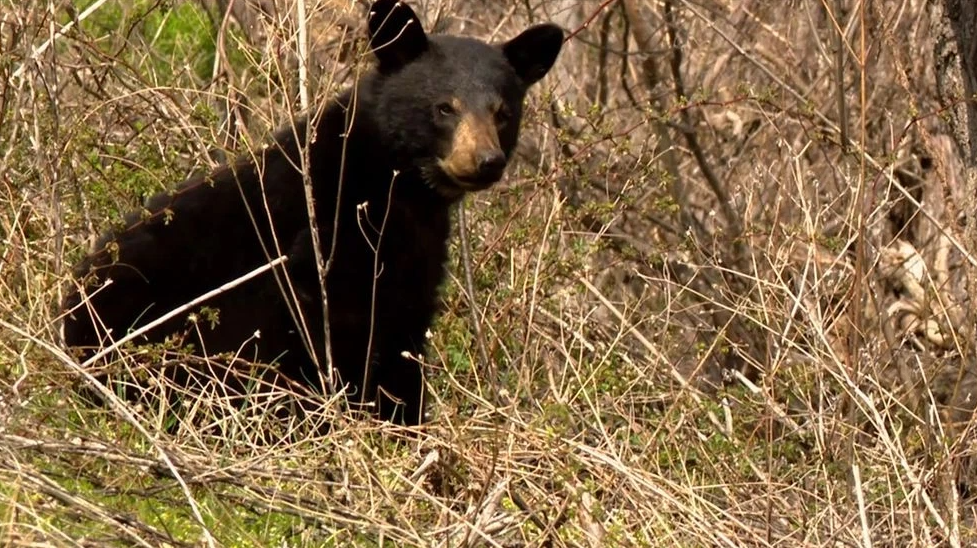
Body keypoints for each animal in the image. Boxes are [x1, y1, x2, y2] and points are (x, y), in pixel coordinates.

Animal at [60, 0, 564, 427]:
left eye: (503, 112)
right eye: (444, 107)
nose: (486, 161)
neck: (394, 183)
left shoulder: (413, 259)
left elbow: (403, 330)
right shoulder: (327, 236)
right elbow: (344, 331)